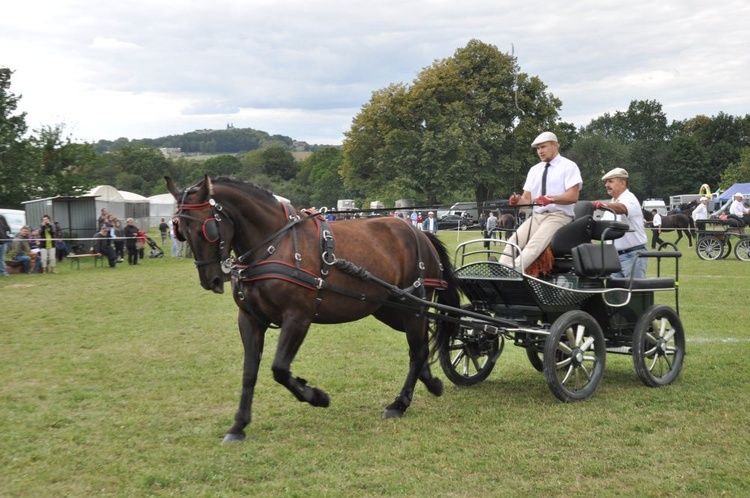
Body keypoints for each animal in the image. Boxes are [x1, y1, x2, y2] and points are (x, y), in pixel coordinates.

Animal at [167, 176, 462, 444]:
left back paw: (399, 403)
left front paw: (317, 397)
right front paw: (238, 426)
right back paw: (430, 382)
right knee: (423, 341)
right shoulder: (249, 320)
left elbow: (280, 369)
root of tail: (419, 233)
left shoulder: (298, 318)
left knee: (417, 349)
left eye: (208, 229)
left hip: (413, 306)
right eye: (180, 229)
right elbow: (249, 372)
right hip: (389, 308)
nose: (212, 280)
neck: (275, 244)